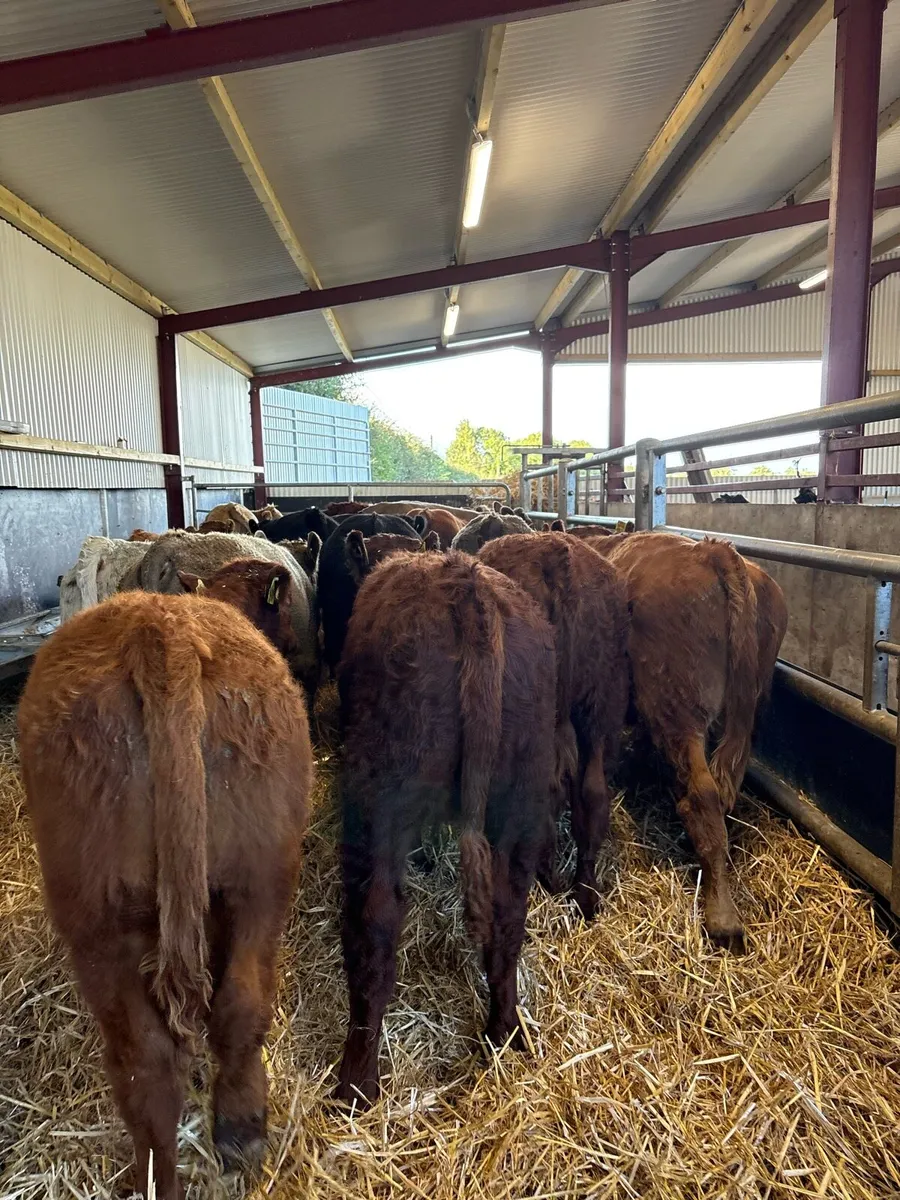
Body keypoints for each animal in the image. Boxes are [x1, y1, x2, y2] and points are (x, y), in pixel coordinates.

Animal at [17, 589, 313, 1199]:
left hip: (100, 922)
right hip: (258, 882)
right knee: (235, 1009)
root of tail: (160, 626)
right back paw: (239, 1135)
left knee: (144, 1058)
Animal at [335, 551, 556, 1104]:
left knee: (376, 921)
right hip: (521, 798)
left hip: (381, 796)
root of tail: (466, 587)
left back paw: (356, 1081)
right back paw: (504, 1031)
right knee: (507, 917)